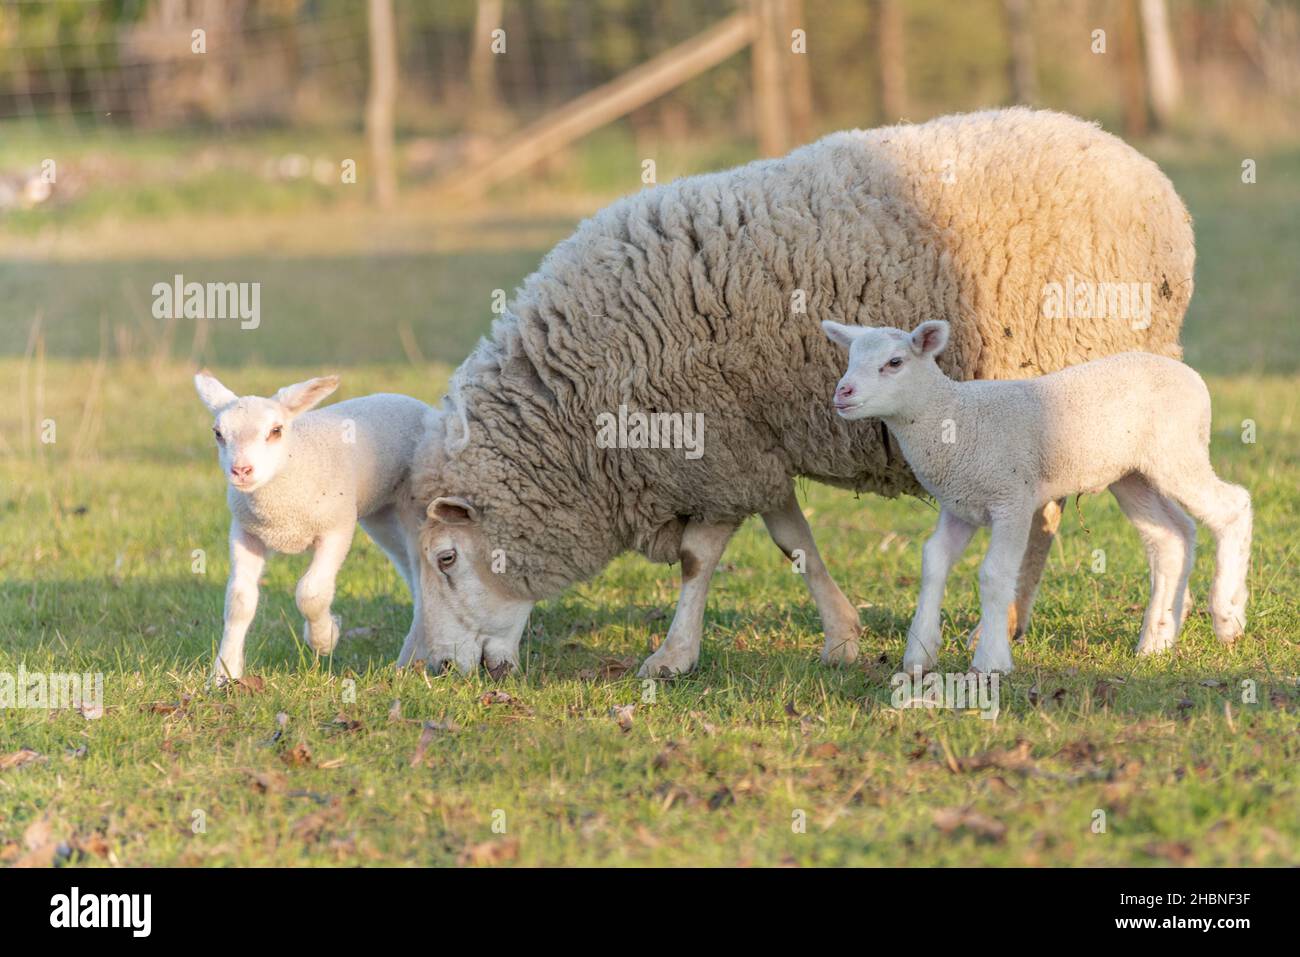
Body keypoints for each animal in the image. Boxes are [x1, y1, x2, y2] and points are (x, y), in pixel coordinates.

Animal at [194, 372, 434, 683]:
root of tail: (412, 401)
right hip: (381, 514)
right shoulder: (245, 532)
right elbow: (239, 602)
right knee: (407, 566)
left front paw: (324, 638)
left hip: (414, 507)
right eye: (218, 433)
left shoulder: (337, 527)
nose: (241, 471)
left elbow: (311, 592)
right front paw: (224, 672)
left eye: (275, 431)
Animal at [409, 107, 1195, 678]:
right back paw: (1015, 620)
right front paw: (843, 636)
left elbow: (700, 557)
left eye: (446, 558)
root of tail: (1152, 182)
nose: (430, 669)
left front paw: (673, 654)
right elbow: (793, 539)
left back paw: (1020, 624)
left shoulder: (716, 448)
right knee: (1049, 513)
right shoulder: (752, 445)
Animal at [824, 318, 1252, 673]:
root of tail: (1189, 374)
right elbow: (933, 563)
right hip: (1134, 473)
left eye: (894, 362)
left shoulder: (1011, 498)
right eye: (850, 358)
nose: (842, 392)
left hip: (1177, 450)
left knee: (1232, 506)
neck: (953, 417)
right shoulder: (958, 505)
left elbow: (995, 573)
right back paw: (1156, 642)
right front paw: (919, 654)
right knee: (1171, 537)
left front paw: (991, 660)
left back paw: (1227, 617)